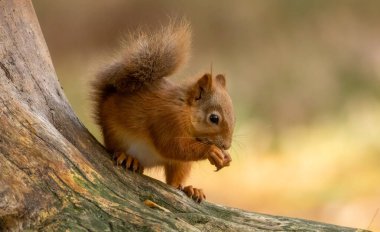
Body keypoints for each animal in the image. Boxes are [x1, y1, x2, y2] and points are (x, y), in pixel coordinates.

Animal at [92, 21, 235, 203]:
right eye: (214, 118)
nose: (226, 145)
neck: (185, 110)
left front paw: (226, 156)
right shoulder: (167, 120)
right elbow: (173, 146)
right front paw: (212, 151)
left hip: (179, 164)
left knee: (174, 182)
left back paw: (190, 189)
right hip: (116, 136)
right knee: (115, 149)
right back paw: (128, 158)